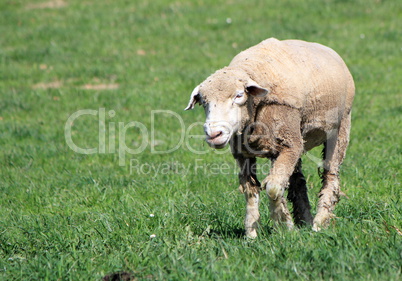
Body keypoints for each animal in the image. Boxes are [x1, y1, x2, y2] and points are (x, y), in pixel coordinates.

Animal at [185, 37, 354, 236]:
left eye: (239, 95)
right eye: (204, 102)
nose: (214, 134)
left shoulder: (290, 145)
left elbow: (272, 188)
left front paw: (283, 224)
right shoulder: (244, 153)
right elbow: (251, 190)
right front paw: (252, 232)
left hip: (339, 128)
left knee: (331, 174)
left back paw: (319, 223)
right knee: (297, 182)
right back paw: (305, 219)